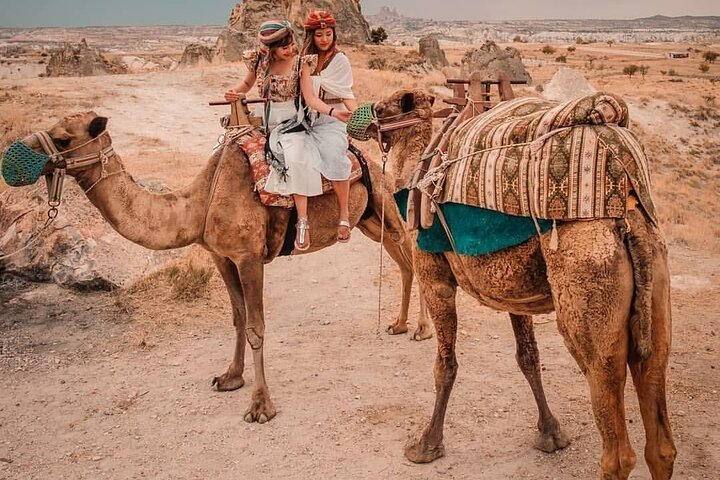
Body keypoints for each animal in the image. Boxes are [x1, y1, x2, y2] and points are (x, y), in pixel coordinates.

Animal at [15, 111, 432, 423]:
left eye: (63, 139)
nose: (19, 154)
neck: (200, 203)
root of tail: (370, 158)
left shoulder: (249, 257)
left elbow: (256, 326)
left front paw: (261, 406)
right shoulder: (221, 255)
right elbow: (237, 317)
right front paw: (230, 377)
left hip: (385, 203)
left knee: (412, 251)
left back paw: (422, 330)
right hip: (367, 221)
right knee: (403, 262)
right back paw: (398, 324)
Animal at [369, 89, 676, 479]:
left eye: (382, 109)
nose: (360, 121)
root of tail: (629, 211)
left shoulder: (434, 277)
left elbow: (445, 365)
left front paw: (425, 445)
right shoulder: (514, 295)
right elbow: (528, 356)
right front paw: (551, 434)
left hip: (587, 282)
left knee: (617, 444)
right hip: (655, 284)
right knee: (659, 432)